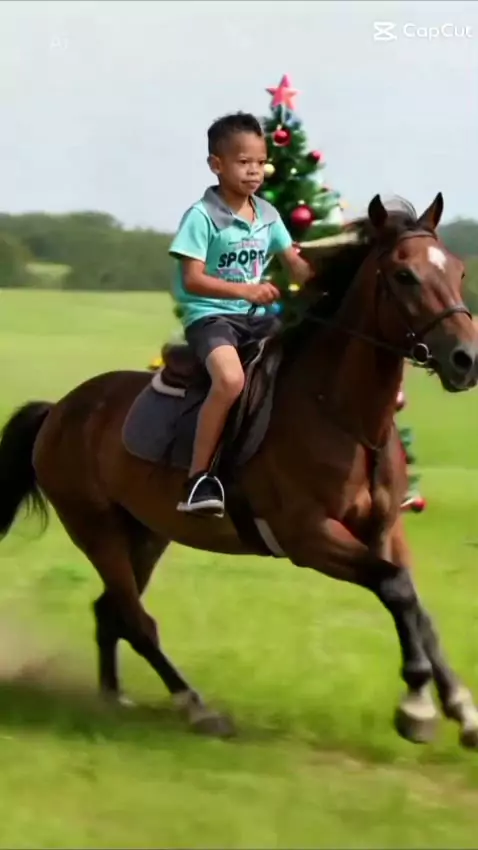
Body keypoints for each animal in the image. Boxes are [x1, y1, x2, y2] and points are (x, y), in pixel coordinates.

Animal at [1, 192, 478, 749]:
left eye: (459, 271)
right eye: (405, 276)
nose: (466, 360)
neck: (345, 417)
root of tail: (59, 410)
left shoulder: (384, 528)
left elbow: (415, 605)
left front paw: (460, 707)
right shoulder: (309, 537)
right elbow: (397, 589)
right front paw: (417, 705)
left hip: (145, 533)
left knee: (111, 611)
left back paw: (112, 698)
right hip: (96, 530)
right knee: (137, 621)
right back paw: (197, 708)